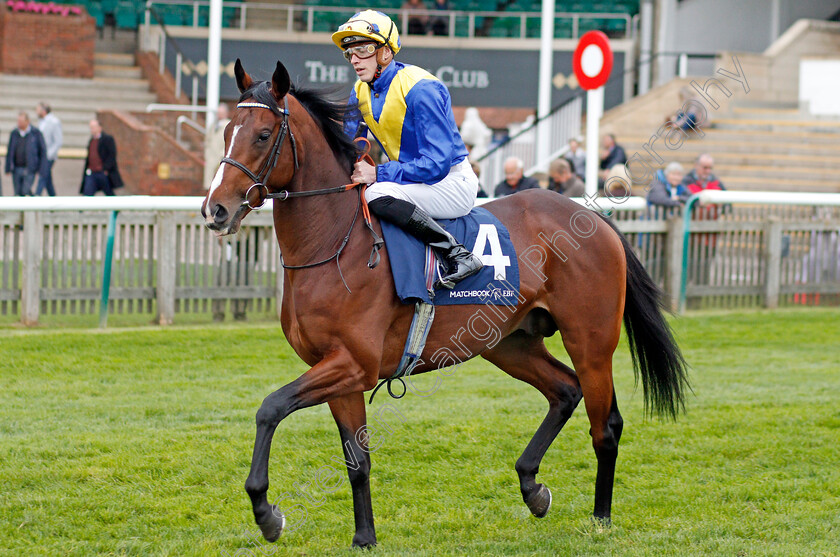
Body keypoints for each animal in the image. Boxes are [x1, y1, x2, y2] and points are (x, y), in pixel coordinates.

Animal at [203, 59, 688, 548]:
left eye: (263, 134)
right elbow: (356, 460)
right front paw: (364, 537)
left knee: (604, 426)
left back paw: (600, 518)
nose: (216, 210)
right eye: (226, 131)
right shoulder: (341, 371)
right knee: (565, 391)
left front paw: (266, 512)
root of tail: (593, 217)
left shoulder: (353, 363)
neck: (335, 244)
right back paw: (532, 487)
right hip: (508, 343)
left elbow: (270, 407)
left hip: (590, 342)